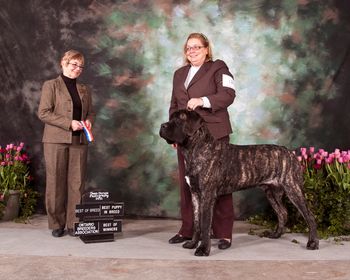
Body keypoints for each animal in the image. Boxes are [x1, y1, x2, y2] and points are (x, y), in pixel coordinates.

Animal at [160, 109, 318, 256]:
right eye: (171, 117)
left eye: (180, 119)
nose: (162, 126)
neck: (196, 149)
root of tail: (290, 153)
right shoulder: (195, 194)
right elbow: (197, 222)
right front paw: (192, 244)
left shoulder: (207, 195)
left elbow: (205, 224)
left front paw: (203, 249)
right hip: (272, 192)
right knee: (283, 213)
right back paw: (276, 234)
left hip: (293, 188)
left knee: (310, 216)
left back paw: (313, 243)